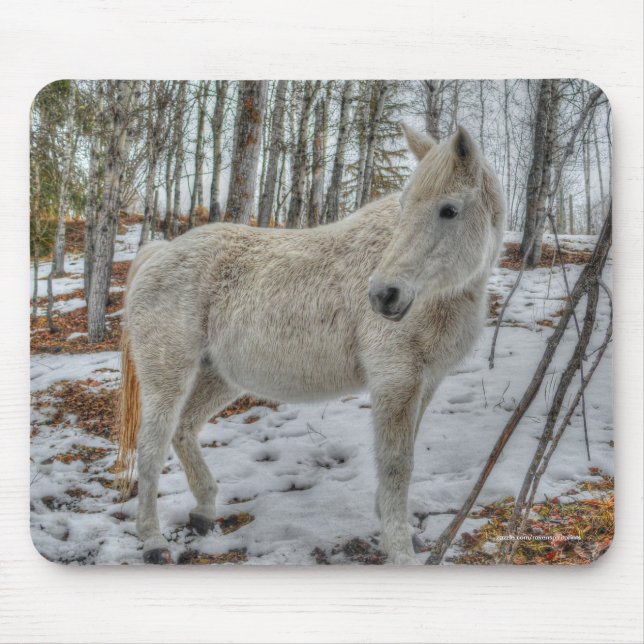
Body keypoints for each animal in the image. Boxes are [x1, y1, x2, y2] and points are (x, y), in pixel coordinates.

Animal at [117, 123, 505, 564]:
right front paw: (400, 549)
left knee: (183, 429)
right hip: (168, 375)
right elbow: (396, 465)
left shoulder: (424, 383)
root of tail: (160, 251)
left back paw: (203, 509)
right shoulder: (396, 381)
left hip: (220, 377)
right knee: (151, 446)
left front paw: (399, 532)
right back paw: (153, 540)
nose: (384, 295)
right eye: (404, 207)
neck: (439, 296)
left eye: (449, 210)